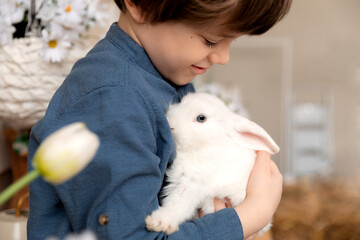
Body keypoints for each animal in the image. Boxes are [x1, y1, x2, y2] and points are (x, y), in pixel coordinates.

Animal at [145, 92, 280, 234]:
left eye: (201, 118)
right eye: (181, 102)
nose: (171, 124)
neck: (206, 145)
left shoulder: (193, 184)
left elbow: (179, 203)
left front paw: (158, 222)